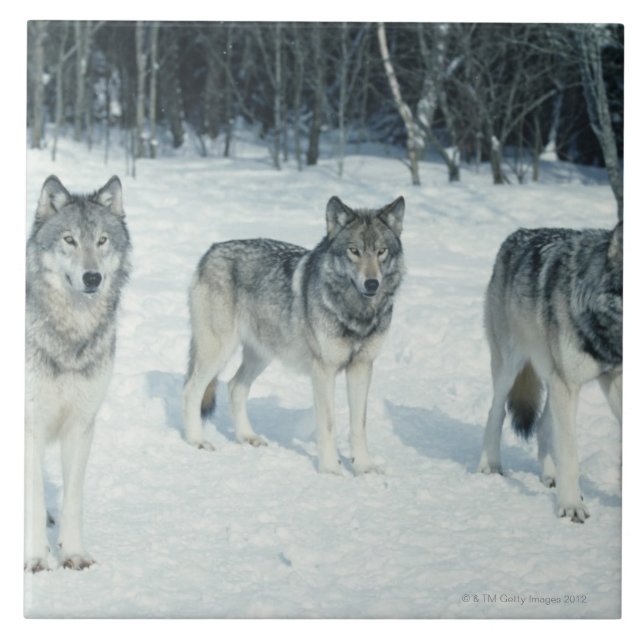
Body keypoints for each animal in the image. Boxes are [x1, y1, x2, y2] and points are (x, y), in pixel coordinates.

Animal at [25, 175, 131, 571]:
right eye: (69, 239)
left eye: (102, 240)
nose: (92, 277)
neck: (71, 335)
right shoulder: (30, 426)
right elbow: (34, 500)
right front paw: (36, 558)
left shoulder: (81, 425)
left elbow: (72, 499)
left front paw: (72, 553)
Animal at [182, 196, 405, 474]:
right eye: (354, 251)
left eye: (381, 251)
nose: (372, 283)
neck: (356, 313)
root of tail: (211, 250)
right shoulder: (323, 370)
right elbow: (328, 424)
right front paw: (330, 469)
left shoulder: (362, 367)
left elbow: (359, 424)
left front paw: (364, 468)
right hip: (219, 352)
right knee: (191, 390)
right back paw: (197, 440)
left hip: (261, 354)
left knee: (234, 387)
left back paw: (247, 437)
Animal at [478, 222, 623, 523]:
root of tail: (517, 234)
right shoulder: (566, 383)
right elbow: (569, 453)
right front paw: (571, 506)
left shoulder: (612, 379)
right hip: (511, 368)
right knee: (496, 412)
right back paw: (490, 465)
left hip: (554, 380)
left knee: (544, 424)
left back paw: (549, 475)